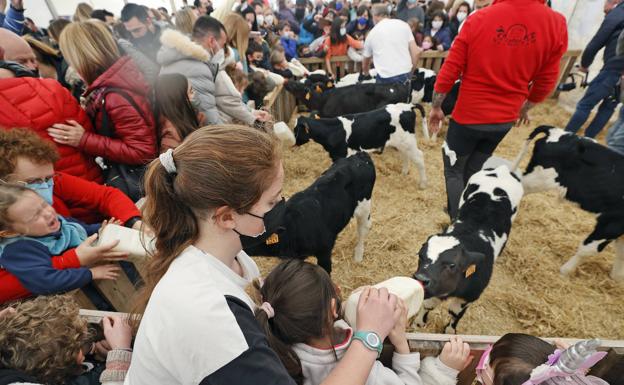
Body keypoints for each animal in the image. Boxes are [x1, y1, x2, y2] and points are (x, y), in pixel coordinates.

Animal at [294, 103, 428, 189]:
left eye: (296, 130)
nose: (294, 143)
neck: (334, 130)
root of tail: (408, 106)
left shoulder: (342, 155)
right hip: (402, 143)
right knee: (405, 156)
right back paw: (403, 173)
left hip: (408, 141)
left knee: (419, 157)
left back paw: (422, 185)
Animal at [414, 165, 520, 332]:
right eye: (420, 255)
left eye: (452, 265)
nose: (420, 278)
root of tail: (501, 169)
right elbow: (427, 304)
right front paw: (419, 322)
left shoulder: (469, 297)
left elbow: (455, 314)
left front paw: (450, 330)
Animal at [512, 125, 624, 280]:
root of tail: (560, 132)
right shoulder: (612, 222)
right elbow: (589, 249)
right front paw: (565, 272)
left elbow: (621, 253)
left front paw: (617, 277)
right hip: (539, 179)